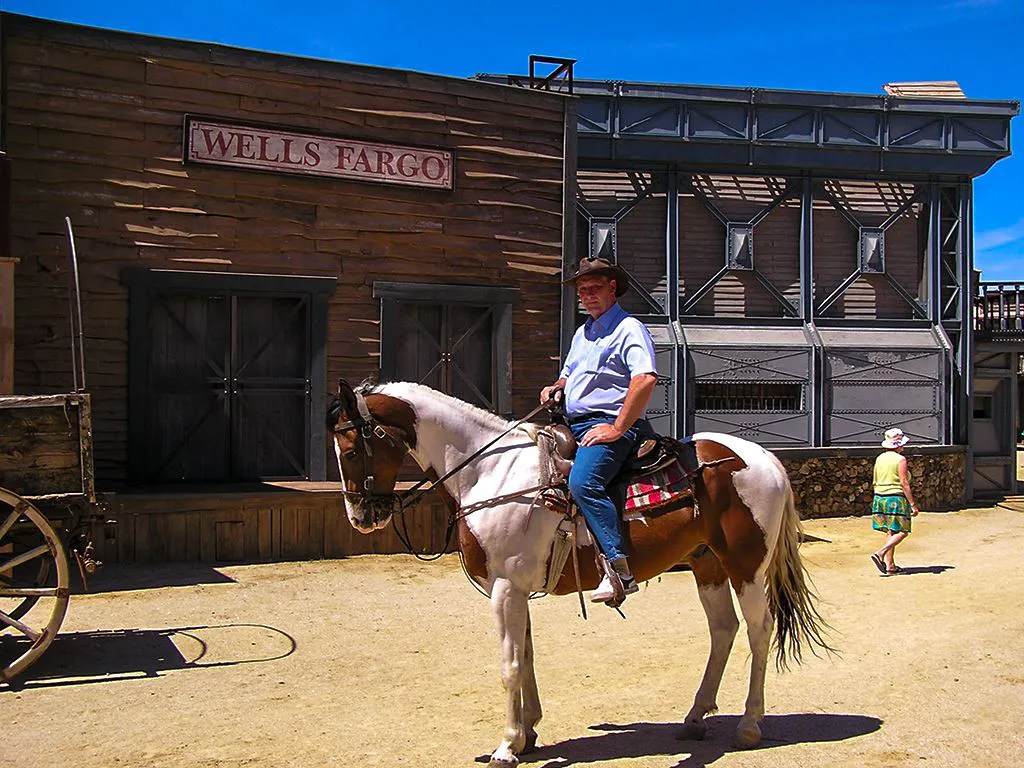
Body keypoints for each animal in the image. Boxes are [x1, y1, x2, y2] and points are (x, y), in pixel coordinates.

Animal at [327, 380, 831, 768]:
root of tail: (764, 458)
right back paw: (694, 717)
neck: (492, 473)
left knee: (759, 631)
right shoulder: (515, 589)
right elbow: (527, 657)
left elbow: (510, 665)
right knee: (723, 630)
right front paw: (527, 734)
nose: (360, 517)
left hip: (746, 566)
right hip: (706, 563)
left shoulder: (506, 589)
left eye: (350, 449)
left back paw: (749, 725)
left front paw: (506, 746)